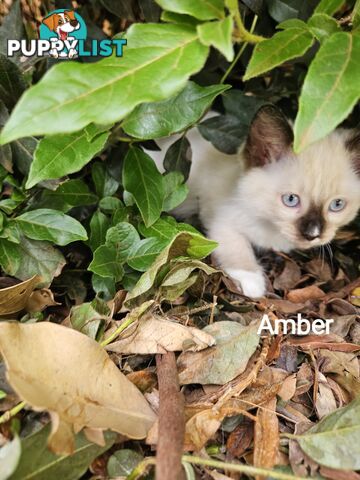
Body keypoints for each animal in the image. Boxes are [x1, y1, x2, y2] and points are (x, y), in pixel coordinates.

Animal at [148, 107, 360, 298]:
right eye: (291, 200)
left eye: (337, 205)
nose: (312, 234)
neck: (269, 225)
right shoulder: (220, 221)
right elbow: (236, 246)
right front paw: (252, 282)